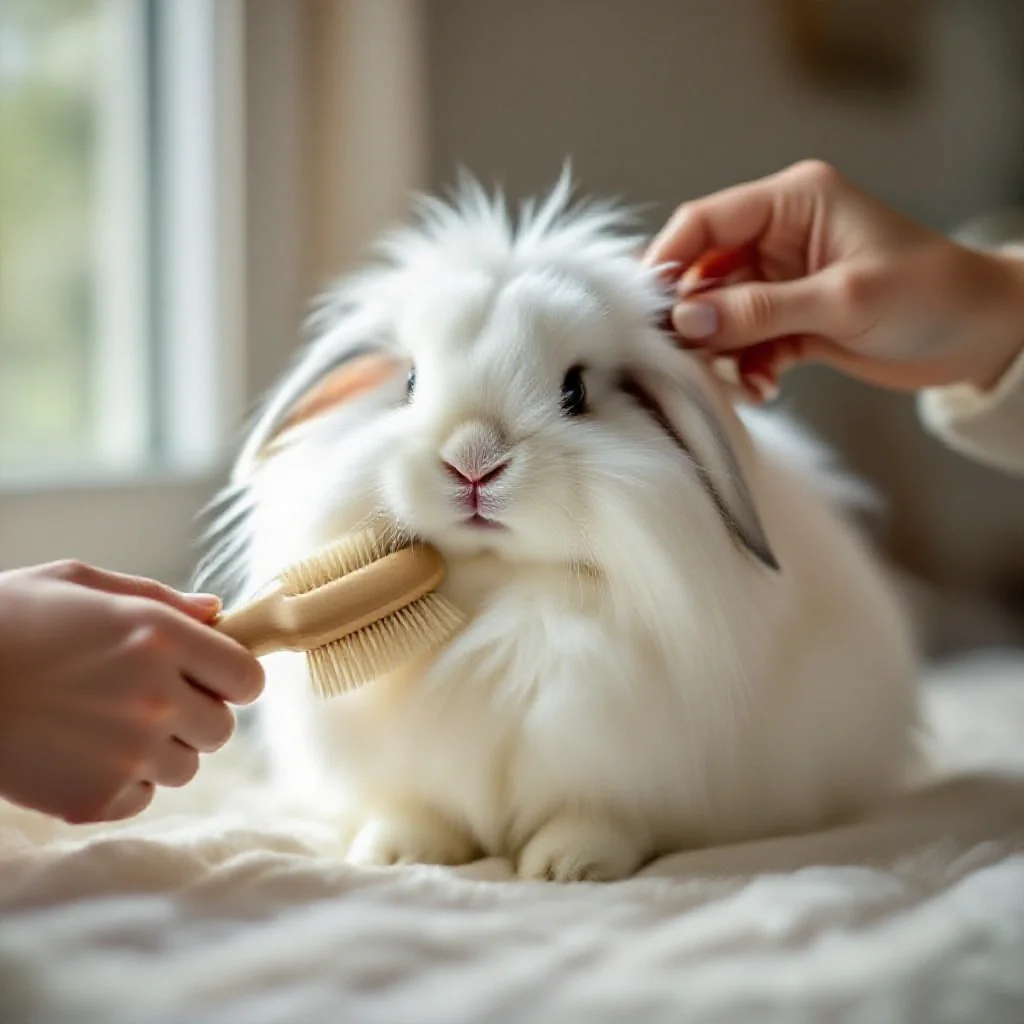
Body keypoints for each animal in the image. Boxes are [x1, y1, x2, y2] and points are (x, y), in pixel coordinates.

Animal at [198, 172, 921, 882]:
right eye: (408, 382)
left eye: (575, 391)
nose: (473, 462)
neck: (492, 589)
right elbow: (418, 807)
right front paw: (398, 853)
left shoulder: (616, 751)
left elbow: (601, 814)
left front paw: (566, 865)